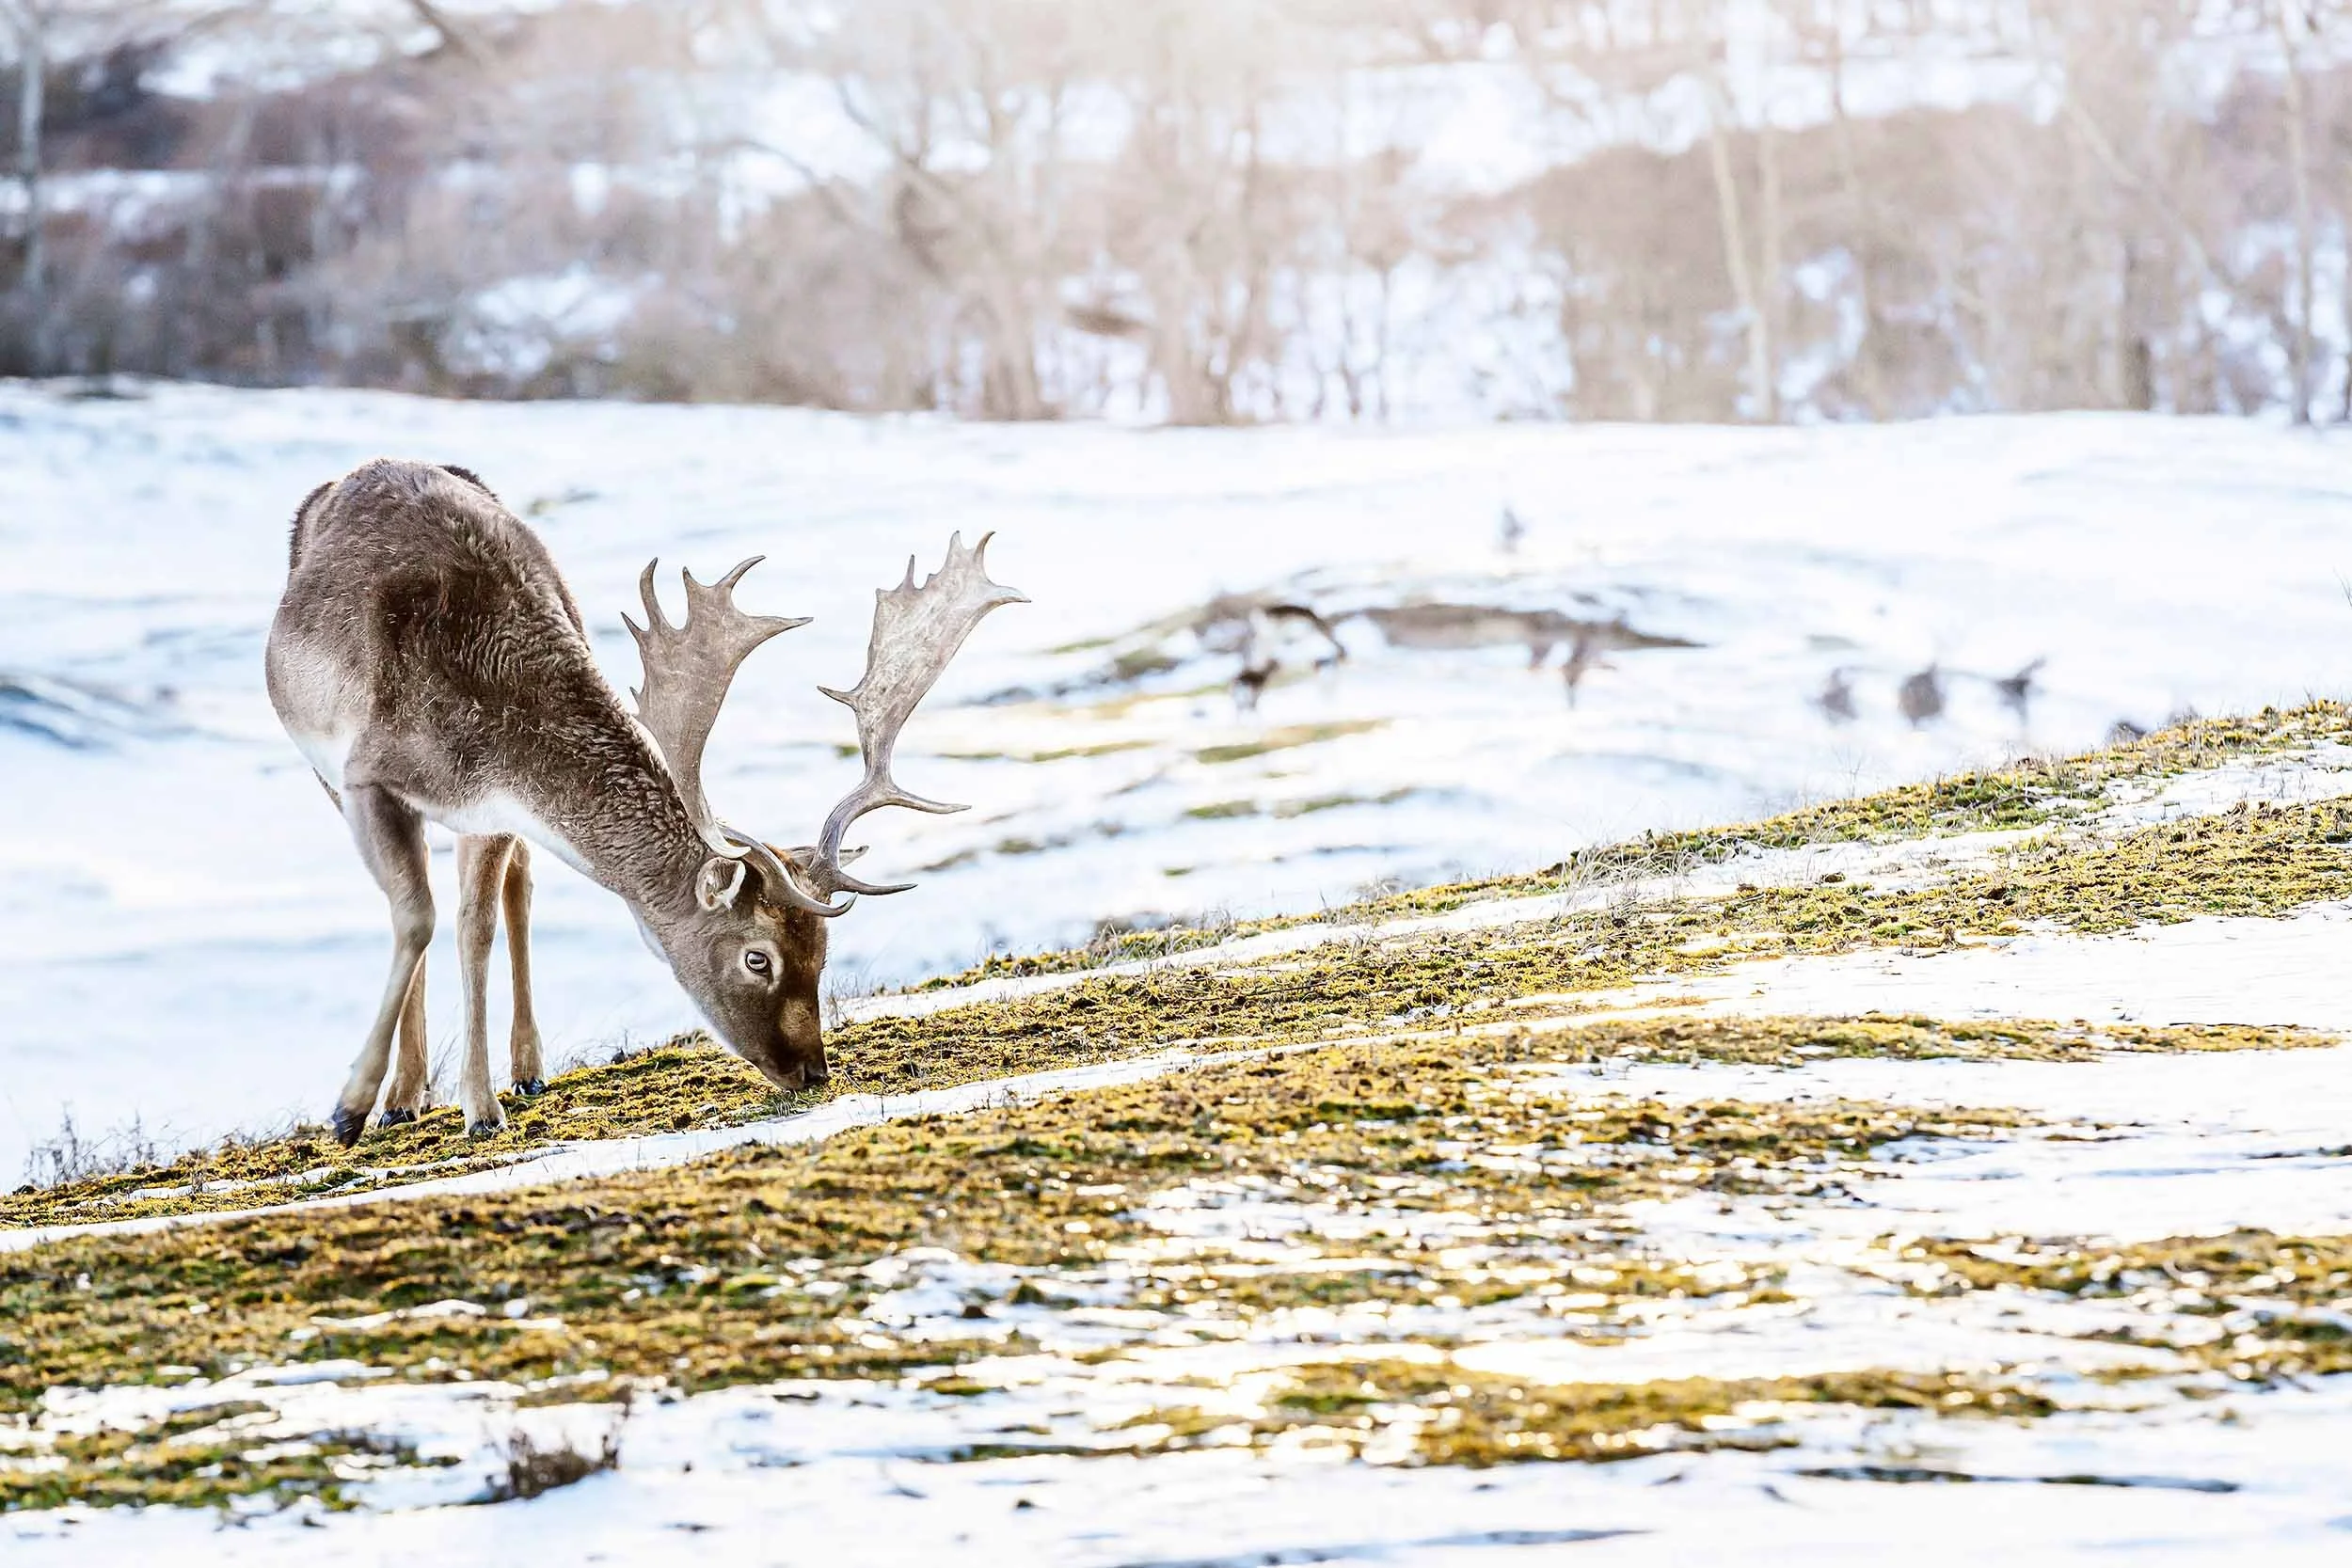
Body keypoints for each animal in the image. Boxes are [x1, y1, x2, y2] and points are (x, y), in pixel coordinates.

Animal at [265, 459, 1023, 1146]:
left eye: (824, 950)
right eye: (758, 958)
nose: (812, 1072)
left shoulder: (490, 814)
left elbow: (472, 929)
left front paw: (480, 1107)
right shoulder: (365, 776)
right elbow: (419, 919)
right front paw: (352, 1108)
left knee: (518, 891)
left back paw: (517, 1069)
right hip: (323, 767)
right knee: (410, 907)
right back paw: (402, 1096)